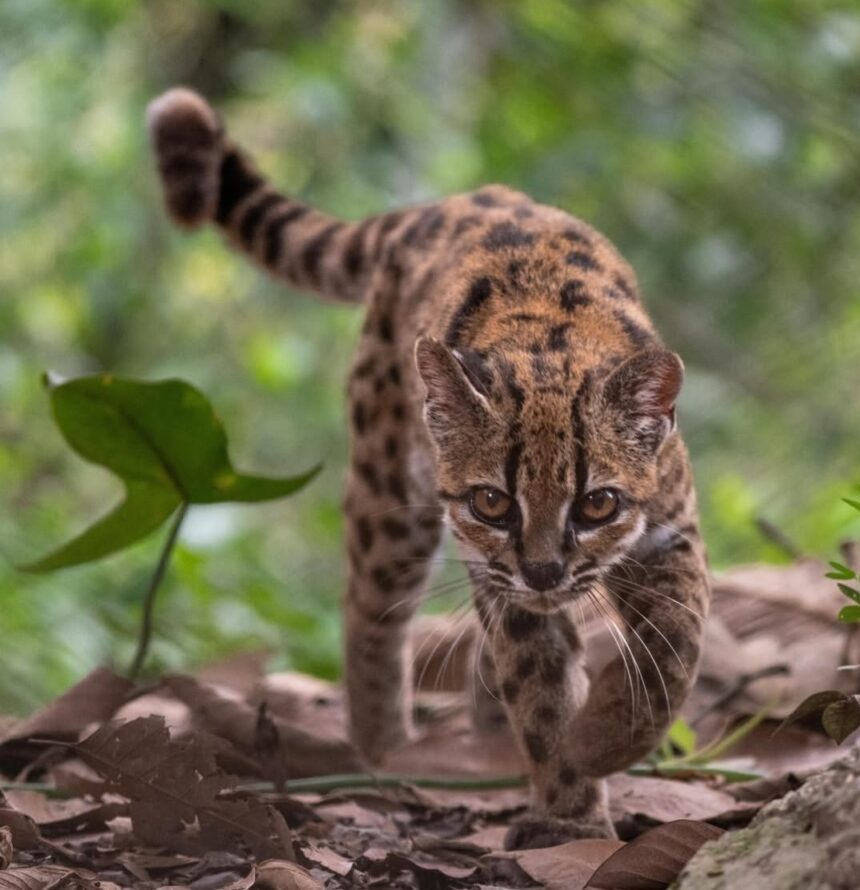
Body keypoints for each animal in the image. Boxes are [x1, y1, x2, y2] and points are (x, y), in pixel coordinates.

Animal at [147, 88, 709, 850]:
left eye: (597, 503)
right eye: (492, 501)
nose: (544, 572)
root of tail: (451, 203)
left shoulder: (670, 531)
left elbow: (676, 645)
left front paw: (603, 742)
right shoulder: (499, 576)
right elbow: (540, 689)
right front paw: (572, 815)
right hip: (389, 494)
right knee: (368, 612)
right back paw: (385, 749)